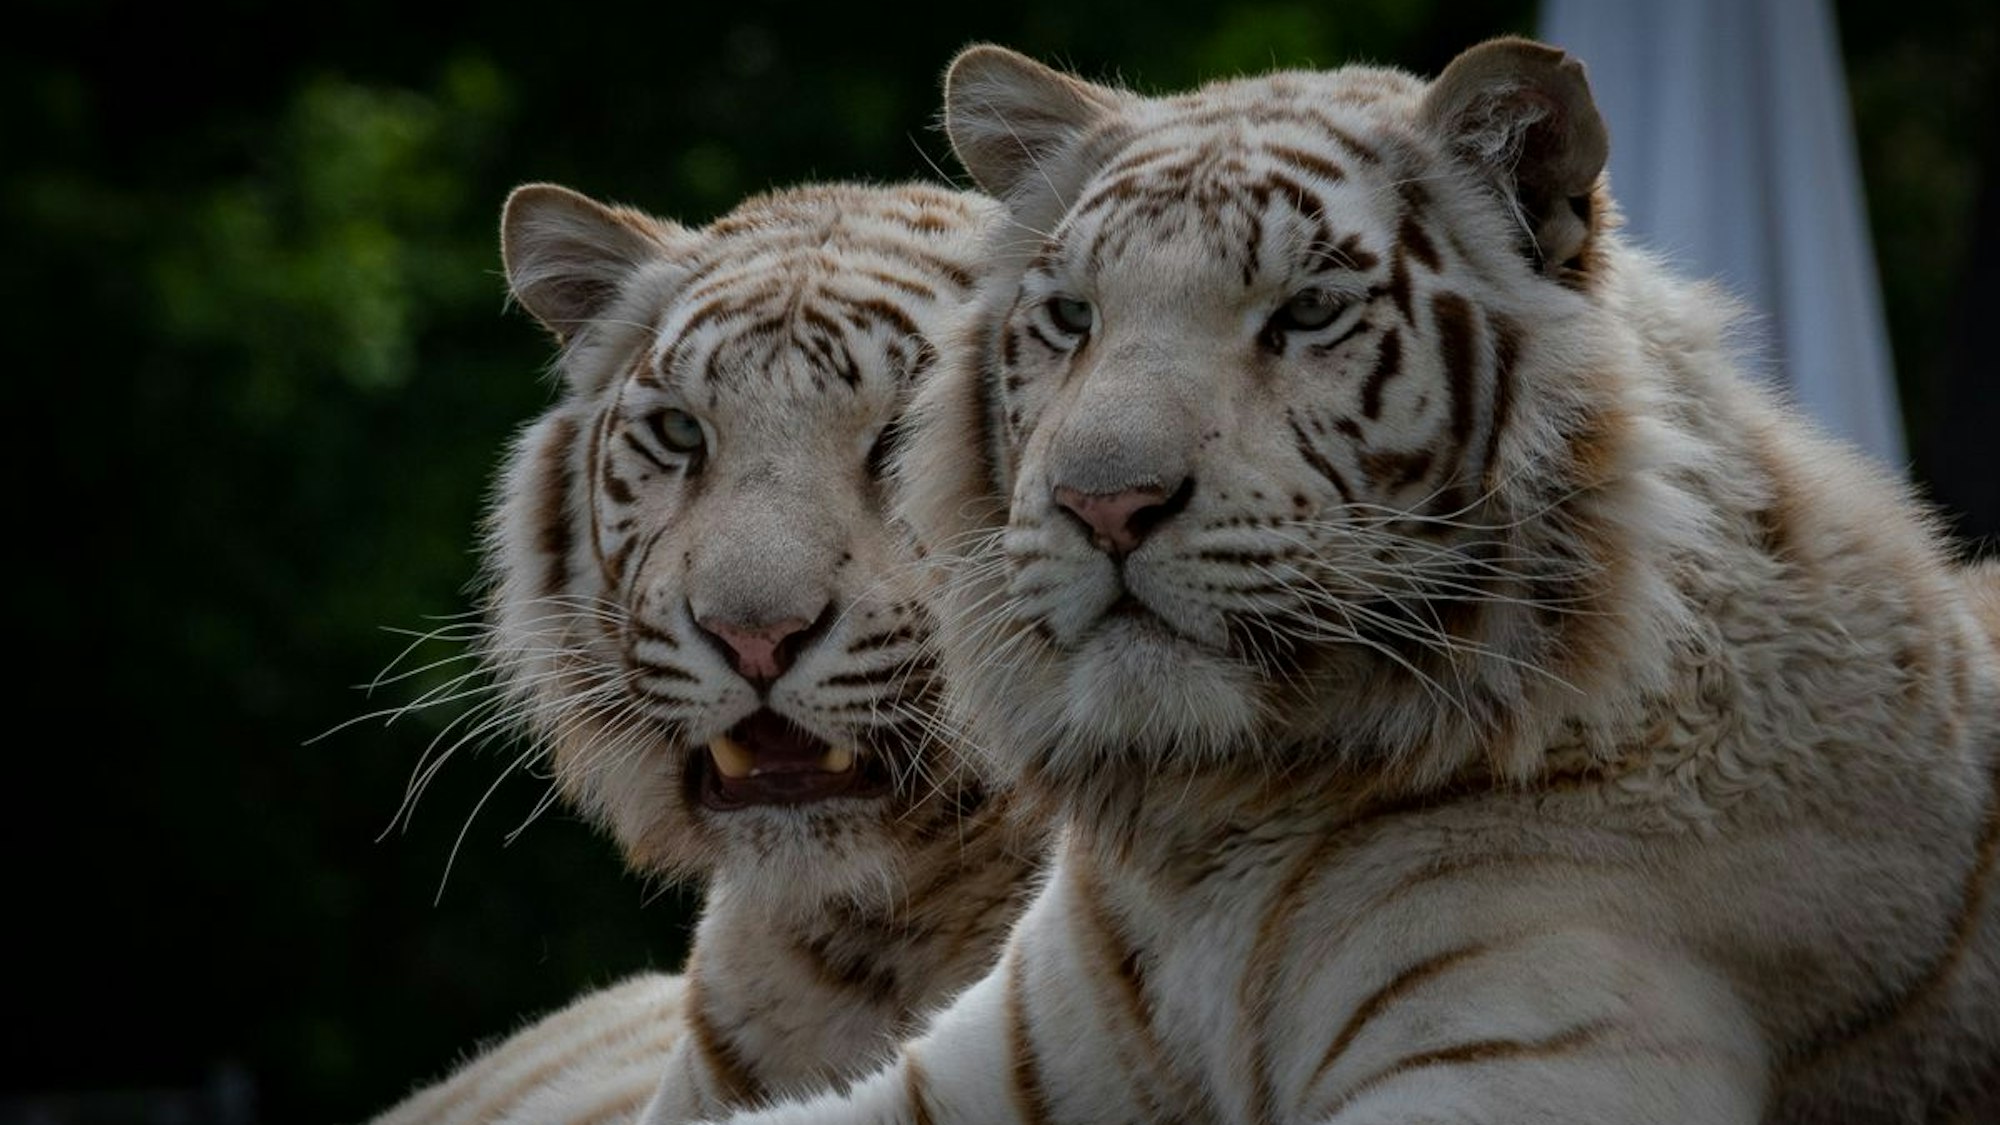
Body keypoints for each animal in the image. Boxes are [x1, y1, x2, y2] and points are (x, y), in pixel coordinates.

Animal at [687, 37, 2000, 1125]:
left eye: (1308, 310)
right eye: (1068, 315)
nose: (1102, 503)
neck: (1214, 835)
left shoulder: (1516, 1061)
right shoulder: (972, 1073)